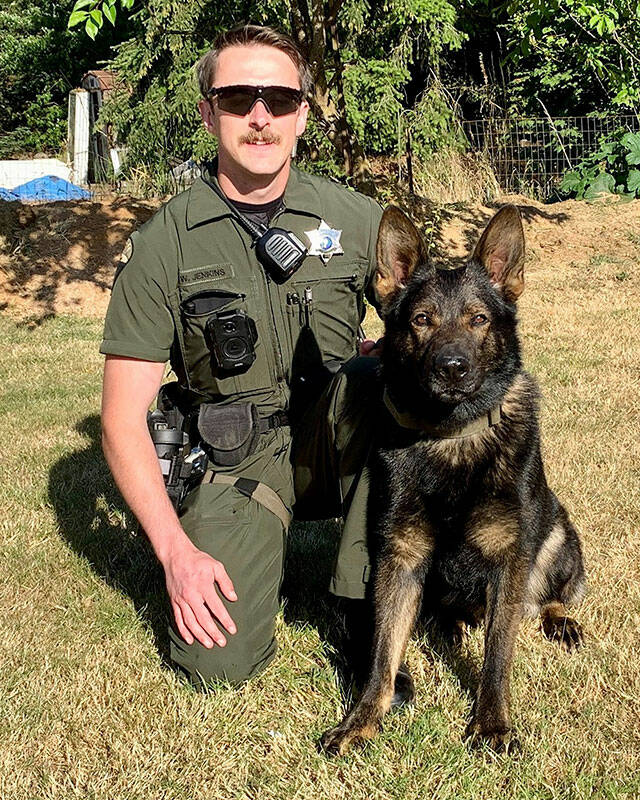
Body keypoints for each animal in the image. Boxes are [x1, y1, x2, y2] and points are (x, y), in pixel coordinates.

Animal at [320, 203, 584, 752]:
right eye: (422, 320)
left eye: (479, 319)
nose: (453, 367)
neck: (451, 439)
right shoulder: (400, 559)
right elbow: (381, 655)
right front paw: (361, 721)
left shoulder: (510, 557)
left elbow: (498, 656)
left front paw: (492, 724)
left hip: (556, 534)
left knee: (551, 596)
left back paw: (558, 619)